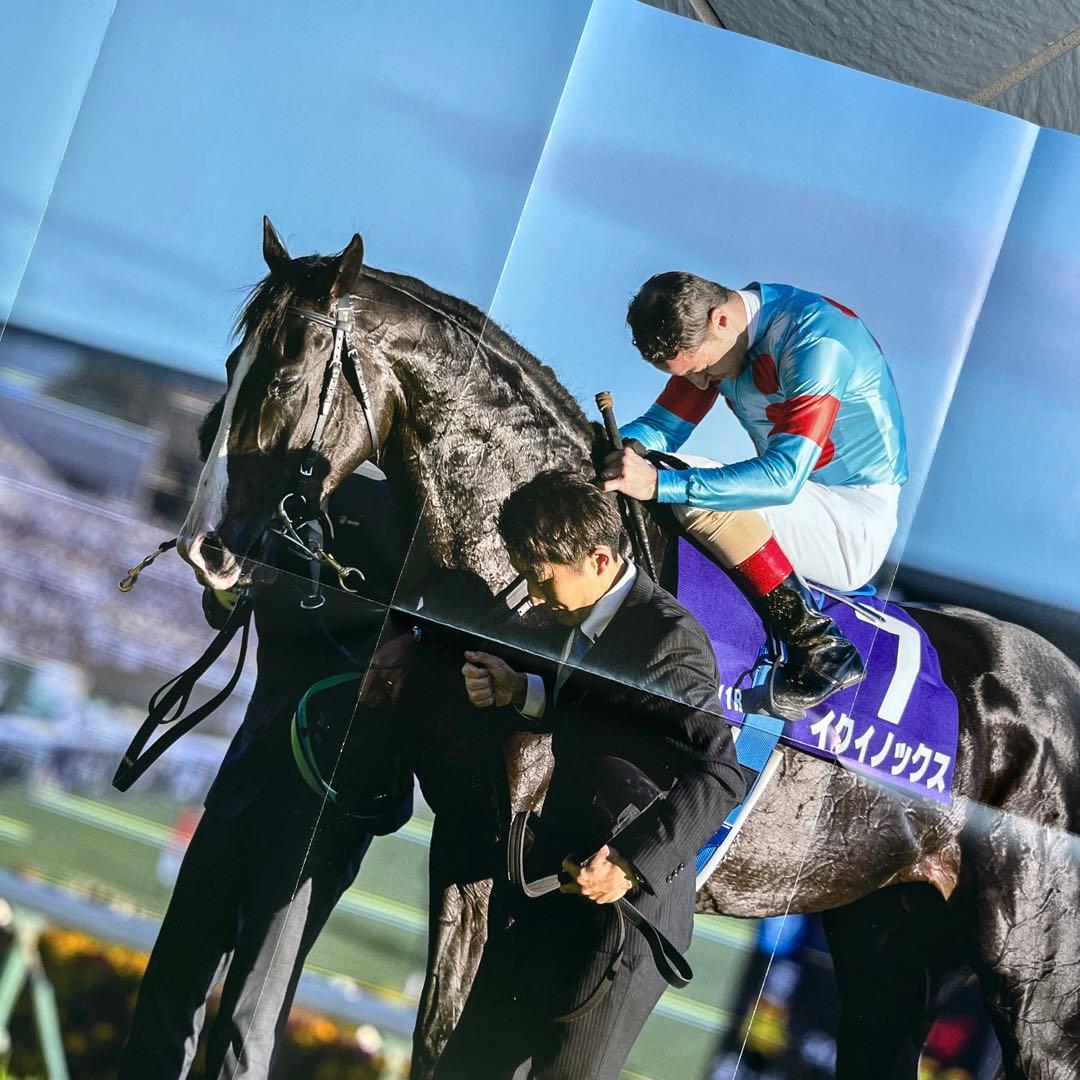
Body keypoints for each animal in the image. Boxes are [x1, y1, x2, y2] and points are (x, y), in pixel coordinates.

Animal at [178, 219, 1080, 1079]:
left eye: (284, 376)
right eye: (229, 361)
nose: (205, 545)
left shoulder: (523, 863)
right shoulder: (469, 837)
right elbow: (440, 1035)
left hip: (1034, 983)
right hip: (892, 945)